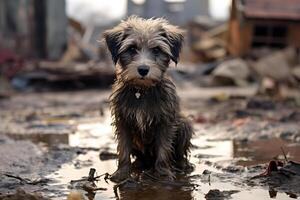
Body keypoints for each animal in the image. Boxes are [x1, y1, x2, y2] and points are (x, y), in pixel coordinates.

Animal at [102, 16, 192, 182]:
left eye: (156, 49)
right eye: (131, 49)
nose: (143, 69)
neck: (142, 91)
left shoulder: (165, 122)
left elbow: (164, 148)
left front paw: (163, 173)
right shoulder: (123, 121)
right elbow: (123, 149)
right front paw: (122, 173)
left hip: (184, 124)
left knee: (179, 153)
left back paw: (182, 165)